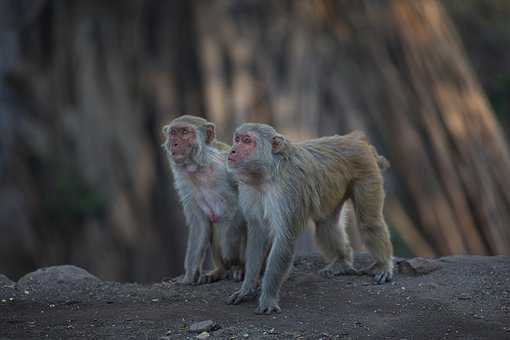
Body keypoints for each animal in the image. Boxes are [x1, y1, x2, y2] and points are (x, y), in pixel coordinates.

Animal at [160, 115, 246, 286]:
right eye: (173, 133)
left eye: (185, 132)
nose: (174, 143)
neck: (199, 168)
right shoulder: (183, 181)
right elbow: (200, 224)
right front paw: (188, 276)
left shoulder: (227, 167)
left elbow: (241, 210)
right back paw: (219, 271)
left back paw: (239, 268)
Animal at [226, 123, 394, 314]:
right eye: (237, 139)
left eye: (247, 141)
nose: (232, 150)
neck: (266, 174)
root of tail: (354, 139)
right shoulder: (249, 189)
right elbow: (257, 235)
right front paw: (246, 289)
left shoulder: (287, 191)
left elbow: (285, 239)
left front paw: (268, 298)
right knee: (326, 224)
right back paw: (342, 261)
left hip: (366, 170)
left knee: (369, 222)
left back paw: (383, 265)